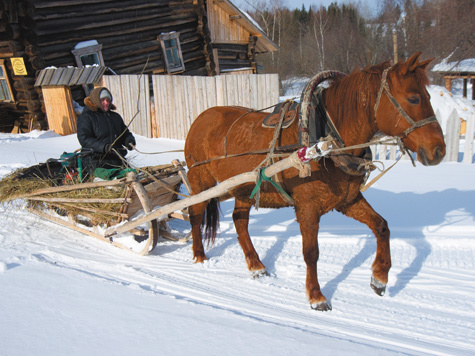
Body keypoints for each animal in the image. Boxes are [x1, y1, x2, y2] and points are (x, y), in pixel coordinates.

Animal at [185, 51, 446, 310]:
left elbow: (381, 226)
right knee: (195, 214)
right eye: (413, 98)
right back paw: (199, 255)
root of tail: (200, 118)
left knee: (239, 220)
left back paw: (256, 265)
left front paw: (379, 278)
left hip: (244, 187)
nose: (439, 151)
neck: (325, 140)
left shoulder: (347, 200)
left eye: (428, 96)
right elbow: (311, 252)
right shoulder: (308, 208)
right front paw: (316, 296)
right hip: (200, 181)